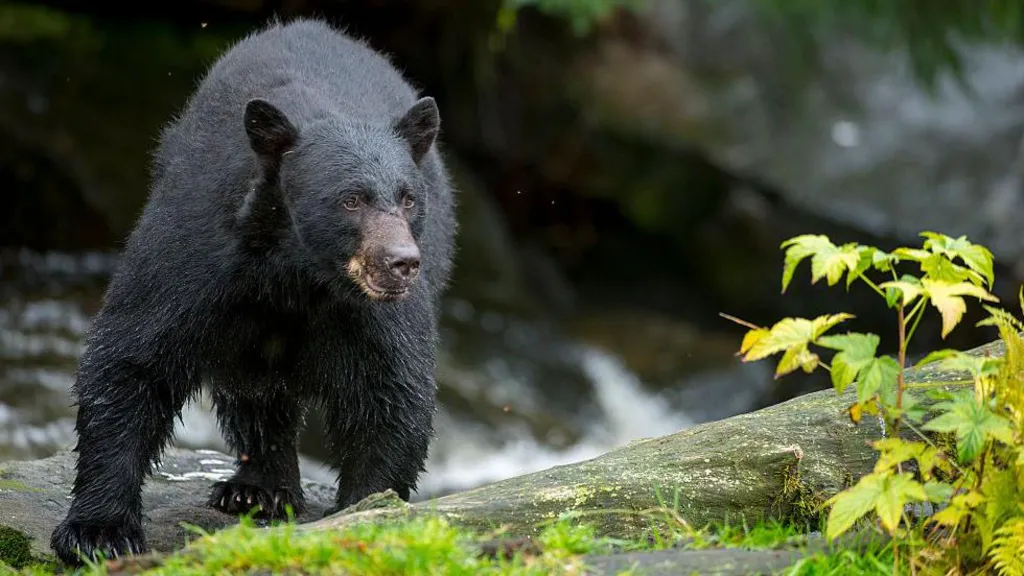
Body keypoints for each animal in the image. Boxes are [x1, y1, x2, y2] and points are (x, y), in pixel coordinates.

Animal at [49, 16, 458, 561]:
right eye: (351, 199)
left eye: (408, 198)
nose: (402, 264)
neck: (297, 273)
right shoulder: (198, 255)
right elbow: (133, 357)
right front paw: (99, 532)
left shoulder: (372, 312)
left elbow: (391, 391)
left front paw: (366, 509)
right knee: (254, 391)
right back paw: (257, 488)